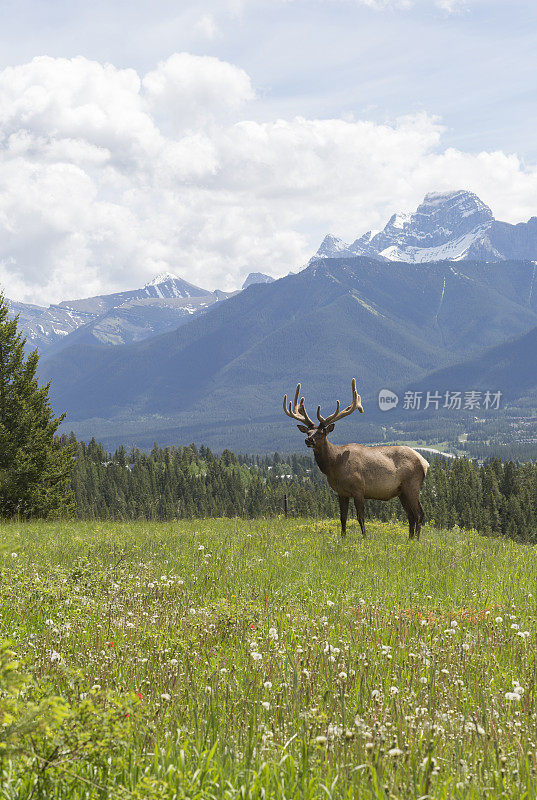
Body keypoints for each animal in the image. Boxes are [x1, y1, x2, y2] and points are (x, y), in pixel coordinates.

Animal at [282, 378, 430, 540]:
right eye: (308, 432)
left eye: (321, 433)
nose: (308, 440)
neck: (335, 465)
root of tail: (424, 462)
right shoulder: (341, 492)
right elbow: (342, 517)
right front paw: (342, 538)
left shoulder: (359, 488)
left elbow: (360, 517)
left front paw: (365, 538)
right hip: (402, 491)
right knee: (410, 515)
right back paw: (410, 539)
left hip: (412, 485)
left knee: (419, 513)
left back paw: (416, 540)